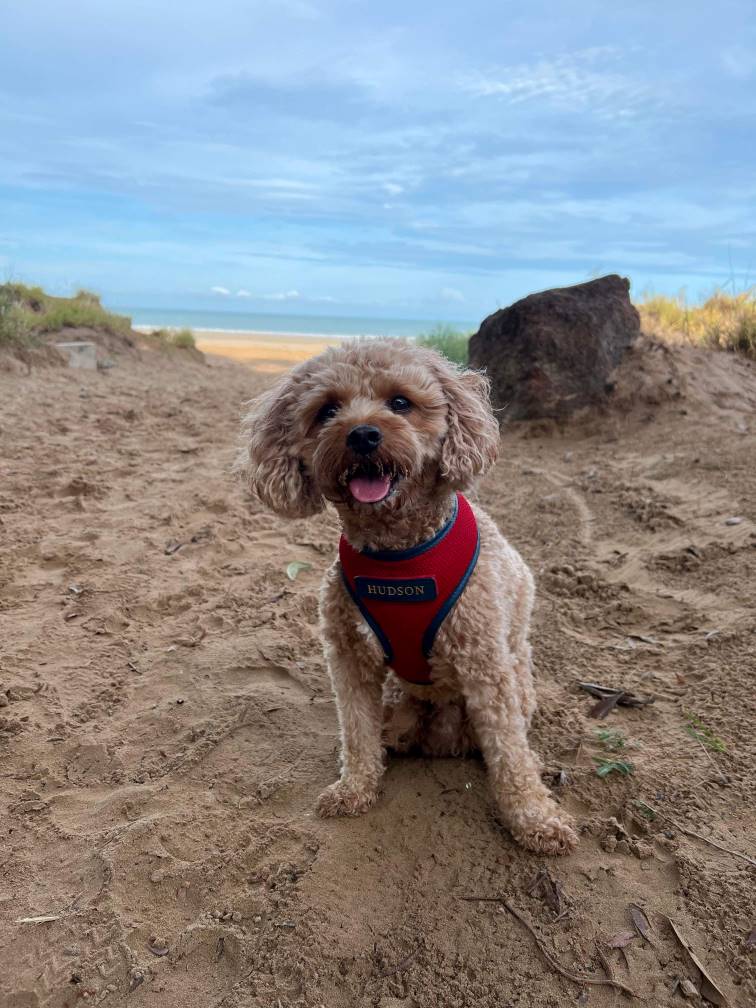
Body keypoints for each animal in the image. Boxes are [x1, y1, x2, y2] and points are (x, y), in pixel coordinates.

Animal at [242, 340, 580, 858]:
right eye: (327, 410)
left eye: (400, 402)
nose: (362, 435)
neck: (399, 555)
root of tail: (442, 737)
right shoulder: (349, 657)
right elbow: (356, 732)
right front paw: (354, 788)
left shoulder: (486, 662)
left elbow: (510, 755)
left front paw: (535, 819)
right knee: (388, 729)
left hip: (516, 683)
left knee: (512, 739)